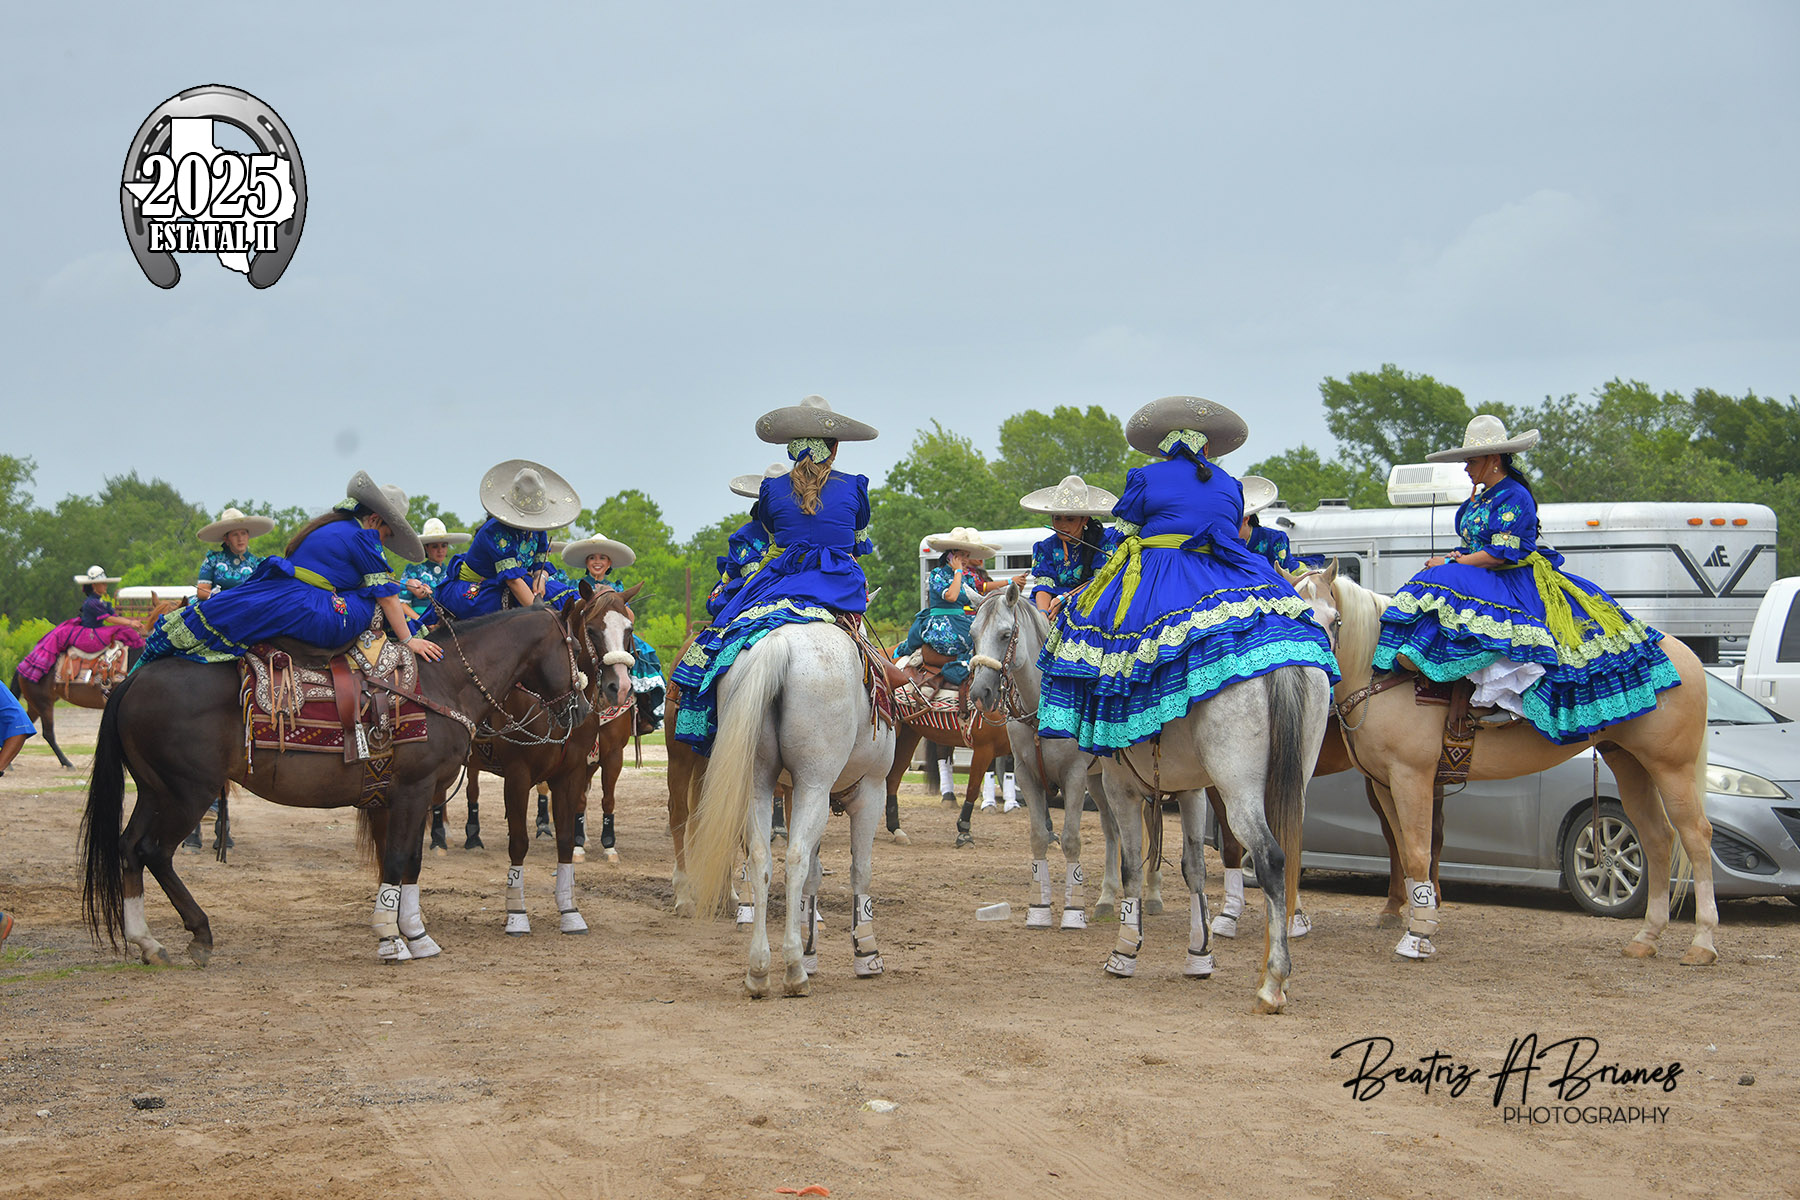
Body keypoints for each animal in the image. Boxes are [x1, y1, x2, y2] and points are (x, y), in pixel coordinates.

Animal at [80, 605, 593, 966]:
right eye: (576, 643)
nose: (587, 707)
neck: (440, 684)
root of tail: (132, 681)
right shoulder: (413, 789)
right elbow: (399, 860)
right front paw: (391, 939)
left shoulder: (407, 796)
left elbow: (410, 862)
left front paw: (415, 934)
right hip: (188, 792)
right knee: (153, 851)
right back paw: (199, 934)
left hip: (155, 791)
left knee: (128, 848)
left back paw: (147, 941)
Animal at [448, 585, 642, 935]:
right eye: (593, 631)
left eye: (629, 630)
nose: (619, 688)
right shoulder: (517, 775)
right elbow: (519, 842)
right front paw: (516, 914)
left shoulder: (573, 772)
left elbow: (566, 837)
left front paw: (570, 911)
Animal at [681, 621, 897, 997]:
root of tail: (778, 644)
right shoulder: (871, 790)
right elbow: (860, 870)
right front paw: (866, 951)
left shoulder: (795, 792)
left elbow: (816, 871)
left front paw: (812, 948)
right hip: (815, 783)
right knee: (795, 858)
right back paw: (794, 969)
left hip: (758, 782)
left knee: (760, 859)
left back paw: (759, 969)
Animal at [1304, 561, 1717, 964]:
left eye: (1335, 619)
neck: (1382, 673)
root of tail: (1689, 657)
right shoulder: (1384, 784)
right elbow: (1406, 853)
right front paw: (1418, 922)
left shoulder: (1412, 778)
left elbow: (1419, 854)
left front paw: (1417, 937)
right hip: (1630, 763)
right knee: (1657, 837)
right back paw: (1646, 937)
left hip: (1671, 768)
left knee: (1696, 836)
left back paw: (1702, 943)